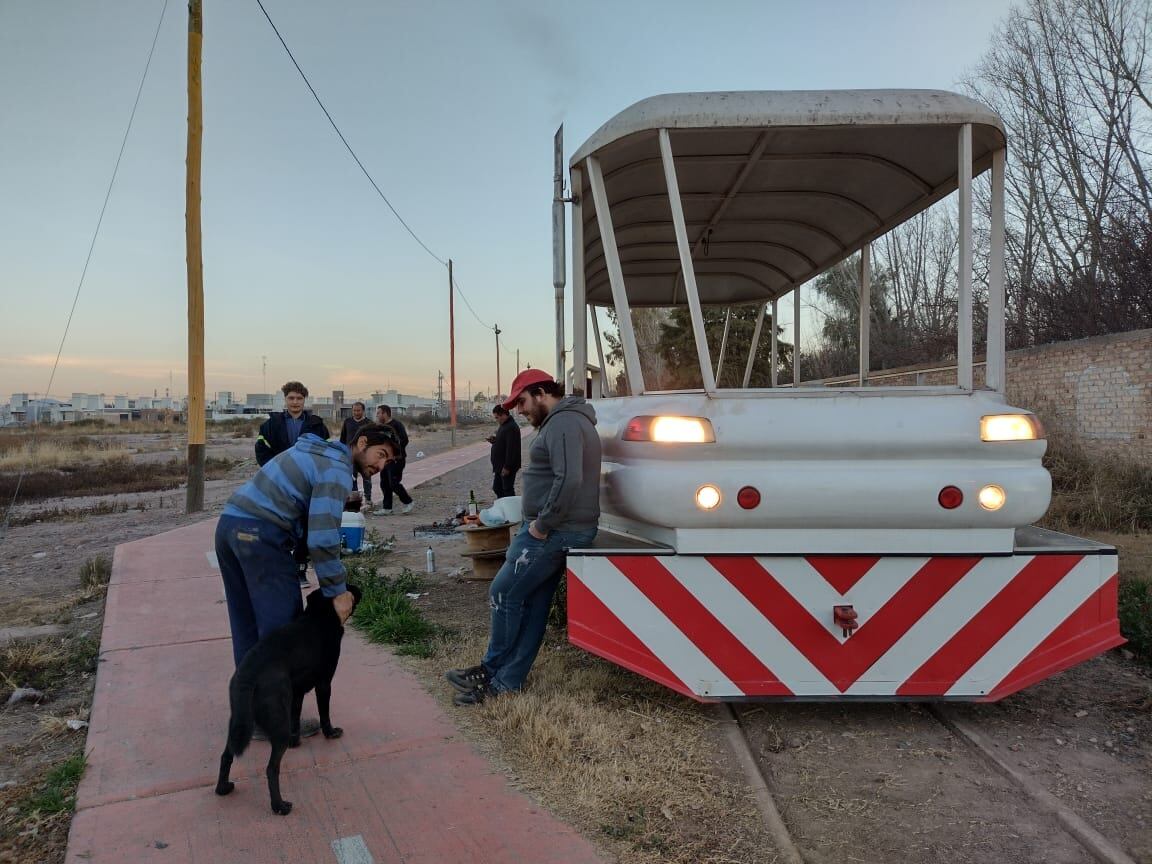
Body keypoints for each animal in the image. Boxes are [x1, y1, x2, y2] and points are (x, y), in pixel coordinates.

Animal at [214, 585, 359, 815]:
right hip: (276, 723)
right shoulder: (324, 684)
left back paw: (223, 788)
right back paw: (279, 806)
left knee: (226, 755)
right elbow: (324, 713)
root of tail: (248, 674)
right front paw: (330, 732)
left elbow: (296, 717)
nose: (357, 589)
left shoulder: (296, 693)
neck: (317, 616)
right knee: (271, 769)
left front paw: (296, 740)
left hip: (238, 722)